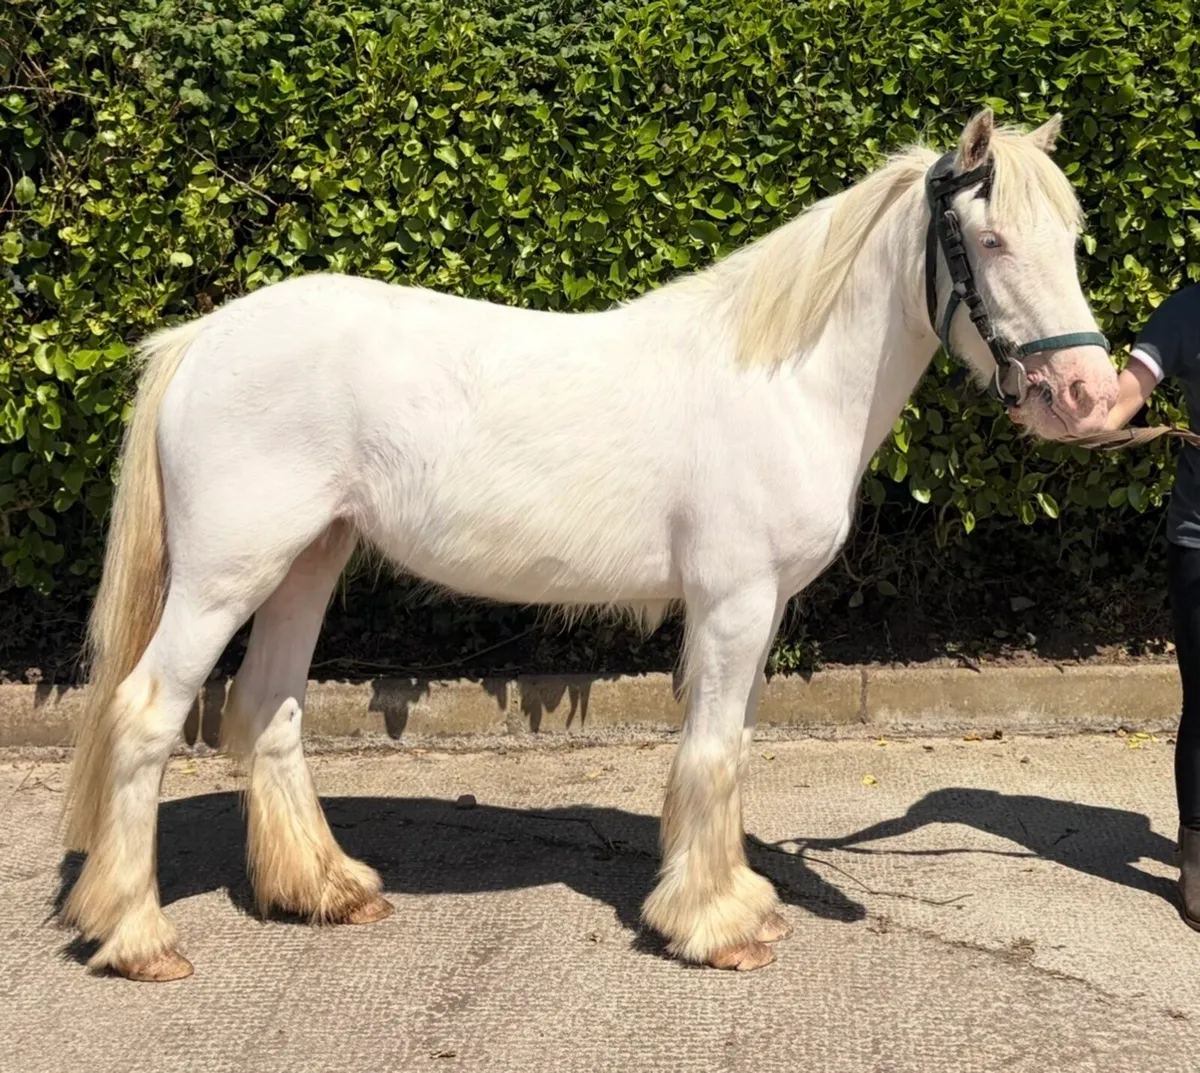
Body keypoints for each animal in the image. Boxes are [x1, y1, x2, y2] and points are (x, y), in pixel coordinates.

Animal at [61, 109, 1119, 981]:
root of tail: (202, 340)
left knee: (269, 708)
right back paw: (139, 938)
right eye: (990, 239)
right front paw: (716, 927)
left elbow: (733, 743)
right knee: (146, 715)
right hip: (224, 575)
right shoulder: (733, 600)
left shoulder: (761, 604)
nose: (1086, 395)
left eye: (1070, 238)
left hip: (307, 562)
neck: (785, 379)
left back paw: (325, 889)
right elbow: (712, 751)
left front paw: (735, 903)